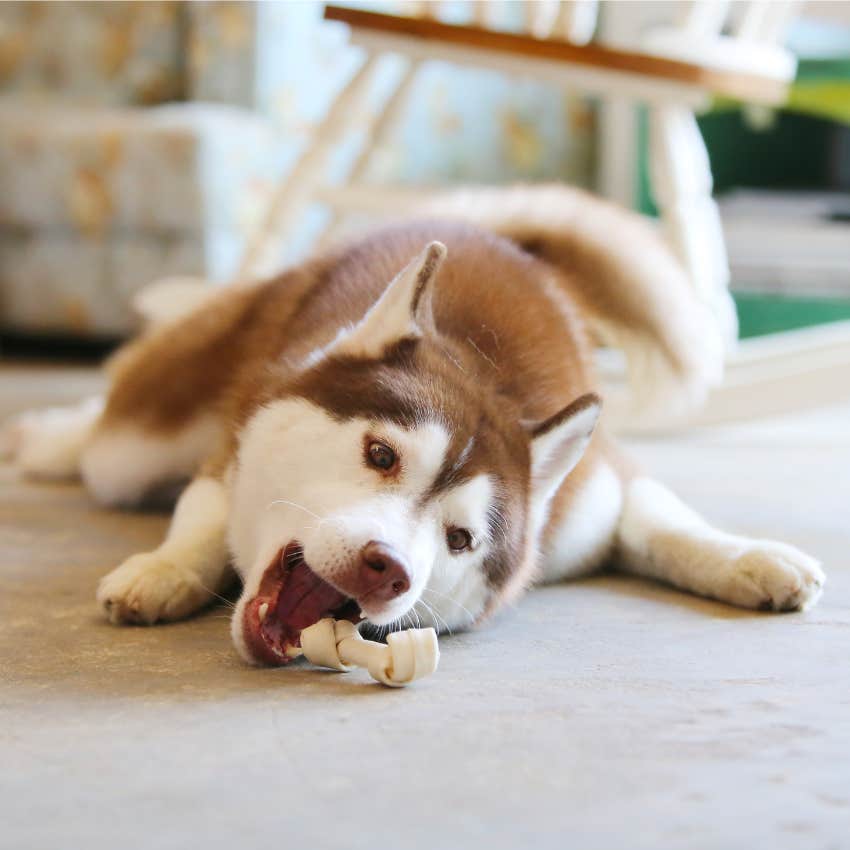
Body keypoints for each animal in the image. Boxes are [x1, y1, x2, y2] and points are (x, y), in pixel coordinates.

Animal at [1, 186, 820, 664]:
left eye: (461, 539)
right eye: (380, 454)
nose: (385, 568)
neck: (489, 371)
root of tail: (481, 229)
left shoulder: (591, 496)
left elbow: (668, 521)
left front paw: (751, 556)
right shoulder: (228, 451)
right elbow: (201, 519)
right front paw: (165, 568)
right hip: (142, 438)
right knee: (111, 430)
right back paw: (47, 435)